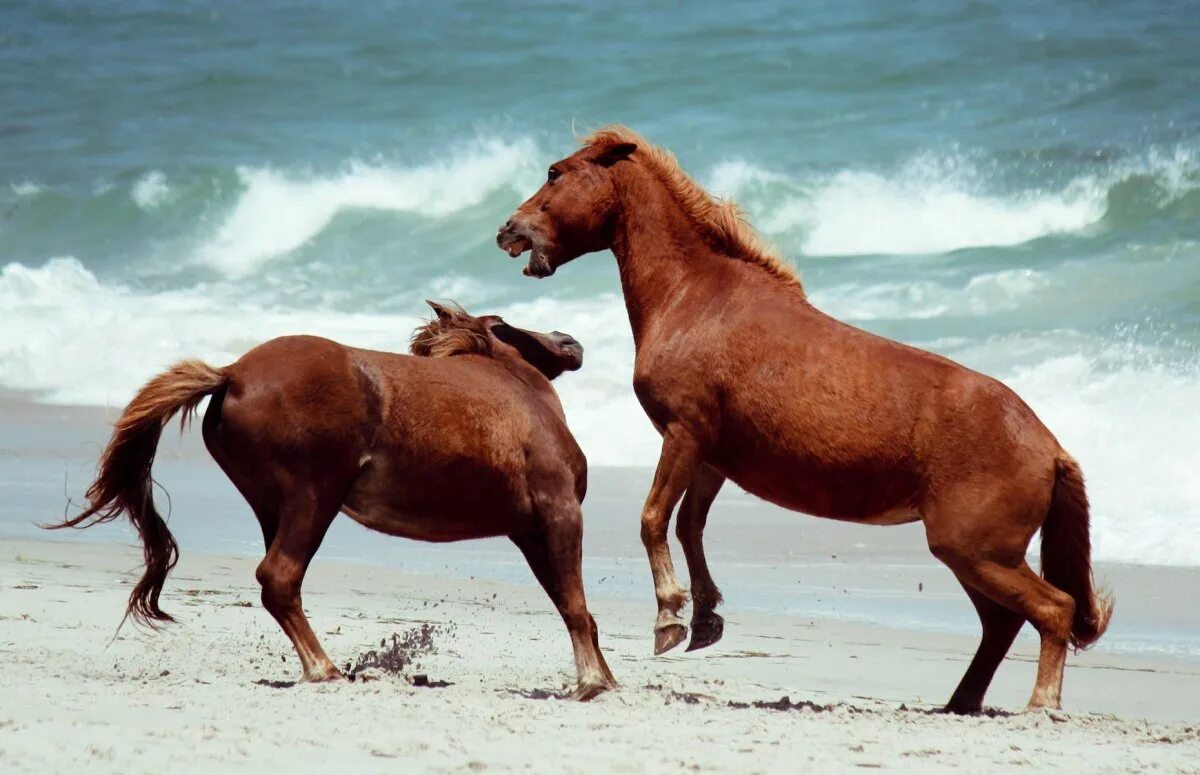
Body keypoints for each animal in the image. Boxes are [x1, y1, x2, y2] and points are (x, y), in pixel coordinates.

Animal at [48, 303, 619, 705]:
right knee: (279, 576)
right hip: (314, 498)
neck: (519, 392)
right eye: (502, 323)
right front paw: (590, 683)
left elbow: (574, 605)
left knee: (280, 584)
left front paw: (608, 680)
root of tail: (232, 373)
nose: (569, 341)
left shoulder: (527, 530)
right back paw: (325, 670)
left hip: (274, 507)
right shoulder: (558, 512)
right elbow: (574, 602)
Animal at [499, 127, 1113, 715]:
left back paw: (1041, 704)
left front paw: (670, 619)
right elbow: (689, 526)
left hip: (976, 551)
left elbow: (654, 519)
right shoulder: (710, 456)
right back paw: (961, 703)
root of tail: (1050, 447)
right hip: (973, 555)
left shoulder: (684, 433)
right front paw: (705, 620)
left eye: (555, 173)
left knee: (1052, 609)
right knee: (1002, 623)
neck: (693, 297)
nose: (508, 229)